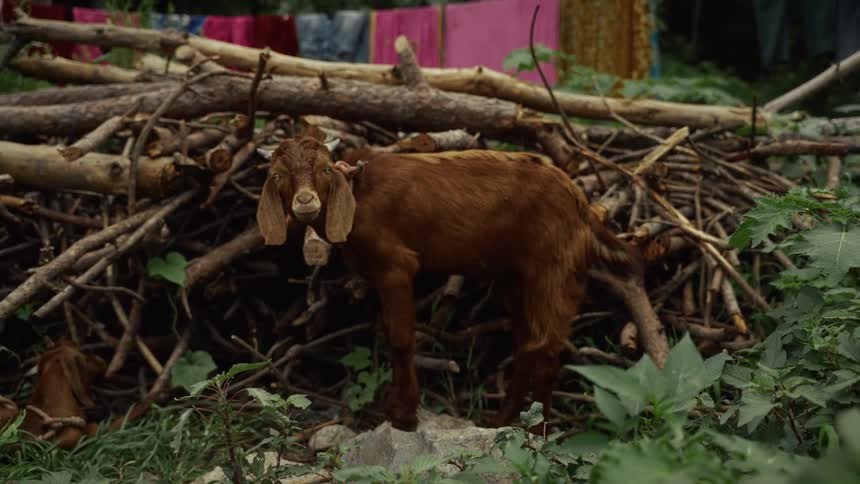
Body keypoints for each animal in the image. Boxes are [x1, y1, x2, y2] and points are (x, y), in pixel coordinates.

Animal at [256, 131, 642, 431]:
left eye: (323, 169)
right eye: (277, 176)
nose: (306, 202)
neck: (359, 191)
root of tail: (581, 202)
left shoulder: (396, 266)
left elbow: (400, 339)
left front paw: (405, 415)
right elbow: (388, 334)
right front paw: (395, 409)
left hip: (555, 269)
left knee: (547, 347)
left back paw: (539, 431)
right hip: (516, 275)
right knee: (527, 344)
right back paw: (503, 420)